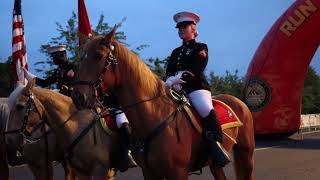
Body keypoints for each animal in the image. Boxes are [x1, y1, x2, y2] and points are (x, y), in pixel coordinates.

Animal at [72, 28, 255, 179]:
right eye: (82, 57)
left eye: (98, 56)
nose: (77, 97)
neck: (153, 117)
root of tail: (238, 102)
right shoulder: (149, 173)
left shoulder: (178, 173)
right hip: (215, 165)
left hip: (246, 154)